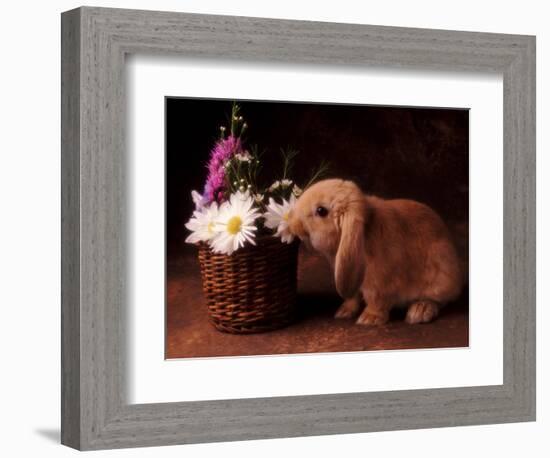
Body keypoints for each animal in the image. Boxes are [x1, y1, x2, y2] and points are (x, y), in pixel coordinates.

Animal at [288, 179, 466, 326]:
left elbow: (376, 301)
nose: (292, 224)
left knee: (439, 300)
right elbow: (352, 297)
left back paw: (419, 312)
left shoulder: (381, 284)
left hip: (441, 275)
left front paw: (368, 319)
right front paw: (343, 312)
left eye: (321, 211)